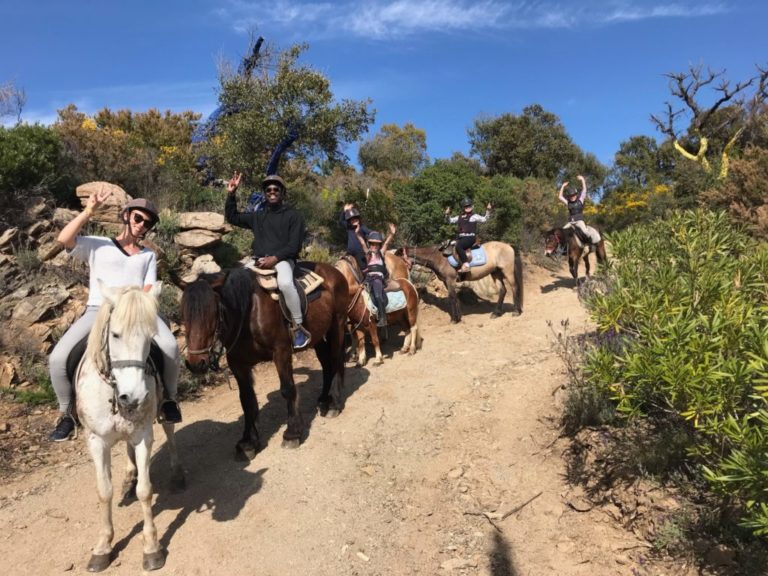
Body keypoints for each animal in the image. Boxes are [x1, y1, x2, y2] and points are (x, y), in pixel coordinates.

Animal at [76, 282, 187, 572]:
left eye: (151, 337)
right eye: (115, 334)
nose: (134, 396)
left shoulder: (143, 436)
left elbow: (145, 491)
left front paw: (152, 548)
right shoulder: (96, 441)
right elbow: (104, 492)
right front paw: (103, 547)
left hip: (165, 407)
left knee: (170, 433)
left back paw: (177, 474)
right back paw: (128, 476)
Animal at [180, 264, 348, 462]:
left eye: (213, 312)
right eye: (183, 314)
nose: (195, 363)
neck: (249, 313)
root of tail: (334, 271)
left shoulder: (281, 352)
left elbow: (287, 390)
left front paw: (292, 434)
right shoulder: (238, 364)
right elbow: (247, 400)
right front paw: (247, 443)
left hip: (337, 325)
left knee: (336, 361)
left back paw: (334, 404)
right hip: (319, 336)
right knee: (326, 365)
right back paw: (323, 399)